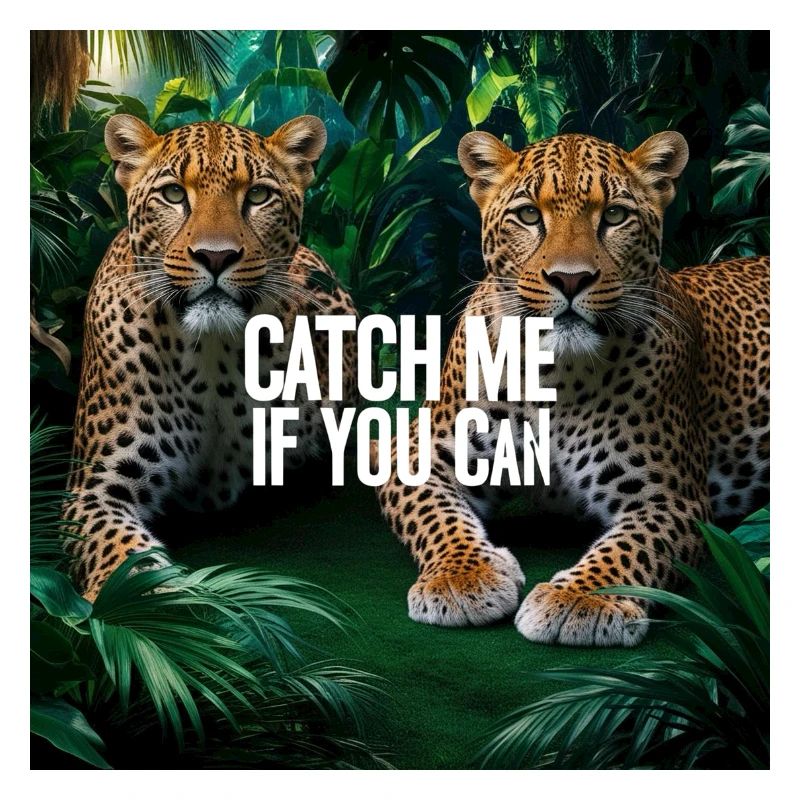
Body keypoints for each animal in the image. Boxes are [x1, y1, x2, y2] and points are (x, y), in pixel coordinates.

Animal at [64, 114, 357, 601]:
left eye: (257, 195)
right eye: (173, 194)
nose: (215, 256)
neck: (213, 356)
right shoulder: (96, 487)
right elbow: (123, 554)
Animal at [376, 129, 769, 646]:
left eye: (615, 215)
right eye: (528, 215)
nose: (570, 278)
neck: (554, 375)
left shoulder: (670, 498)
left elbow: (630, 548)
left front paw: (582, 599)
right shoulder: (418, 453)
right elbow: (436, 516)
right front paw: (462, 576)